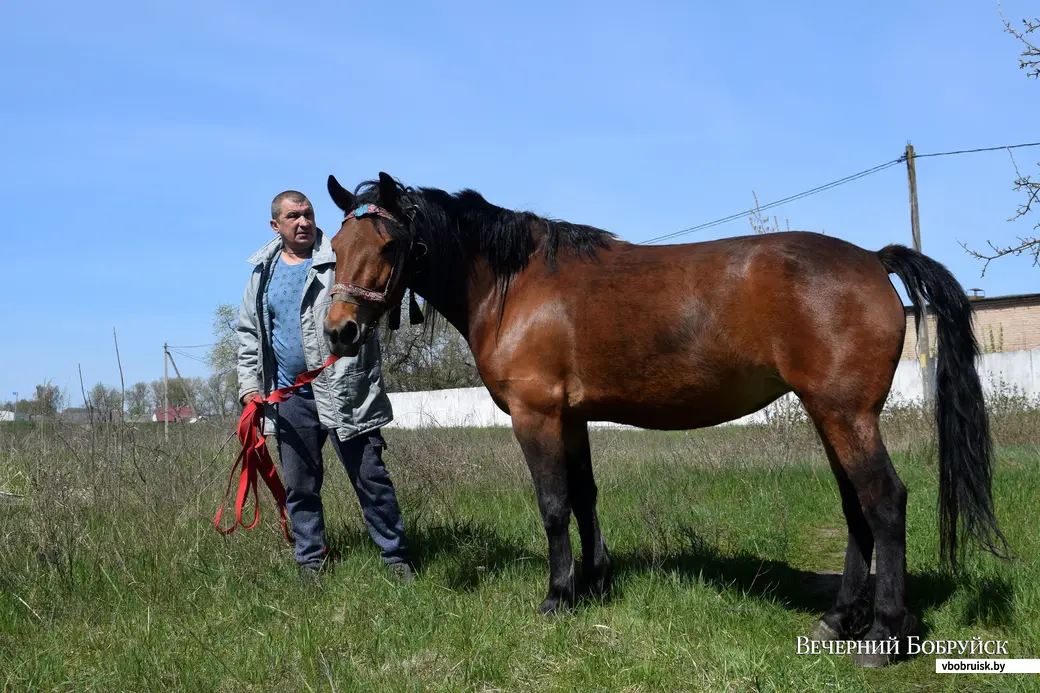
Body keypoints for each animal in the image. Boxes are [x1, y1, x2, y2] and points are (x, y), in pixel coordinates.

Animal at [322, 169, 1006, 661]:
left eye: (388, 243)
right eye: (335, 244)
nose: (339, 331)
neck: (516, 286)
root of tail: (871, 257)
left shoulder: (535, 415)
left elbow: (553, 505)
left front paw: (557, 596)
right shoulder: (572, 417)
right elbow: (584, 496)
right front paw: (595, 584)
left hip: (846, 414)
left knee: (885, 501)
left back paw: (883, 635)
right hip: (831, 414)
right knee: (855, 504)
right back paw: (840, 618)